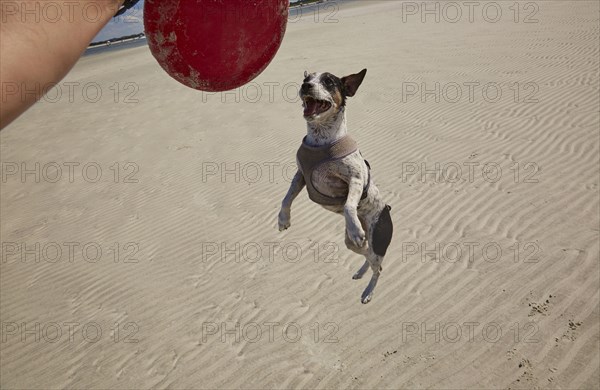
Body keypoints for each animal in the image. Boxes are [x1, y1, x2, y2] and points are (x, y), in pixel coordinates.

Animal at [278, 68, 394, 304]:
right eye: (306, 79)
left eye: (328, 81)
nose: (305, 86)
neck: (320, 140)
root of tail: (387, 211)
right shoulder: (300, 176)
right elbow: (286, 197)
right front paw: (283, 219)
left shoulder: (356, 179)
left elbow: (349, 205)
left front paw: (355, 228)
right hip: (353, 245)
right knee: (367, 257)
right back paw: (360, 272)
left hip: (378, 240)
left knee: (378, 267)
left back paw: (368, 292)